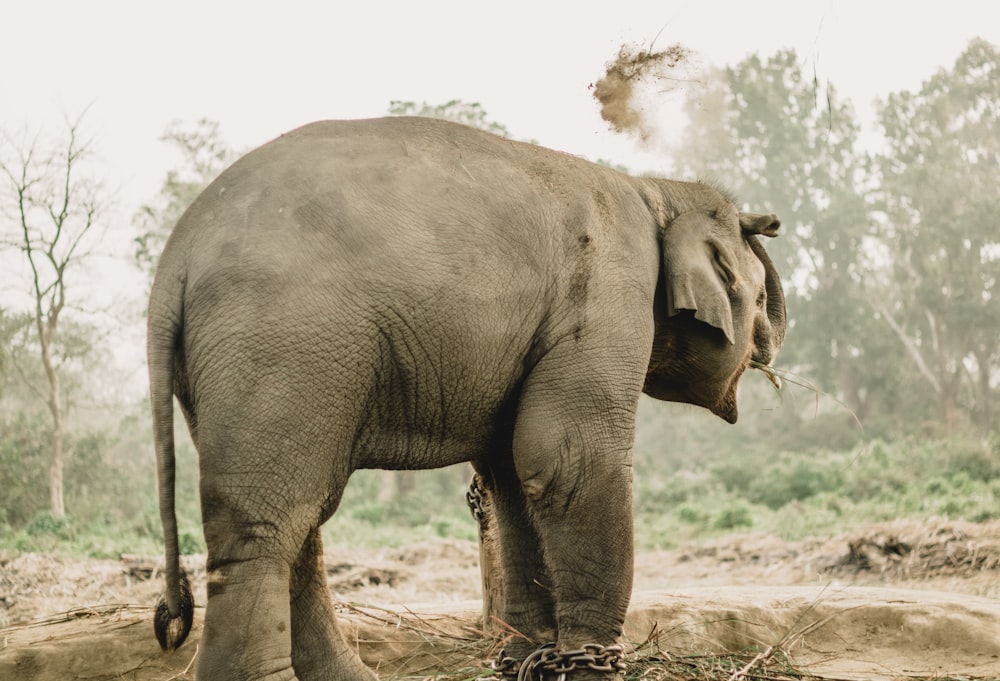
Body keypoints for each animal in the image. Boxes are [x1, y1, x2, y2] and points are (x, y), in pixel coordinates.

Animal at [148, 114, 784, 676]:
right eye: (757, 299)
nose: (770, 342)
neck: (656, 190)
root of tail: (176, 254)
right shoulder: (609, 292)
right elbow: (568, 460)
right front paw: (588, 670)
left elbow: (511, 472)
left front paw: (531, 662)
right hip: (284, 342)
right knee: (264, 525)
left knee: (298, 521)